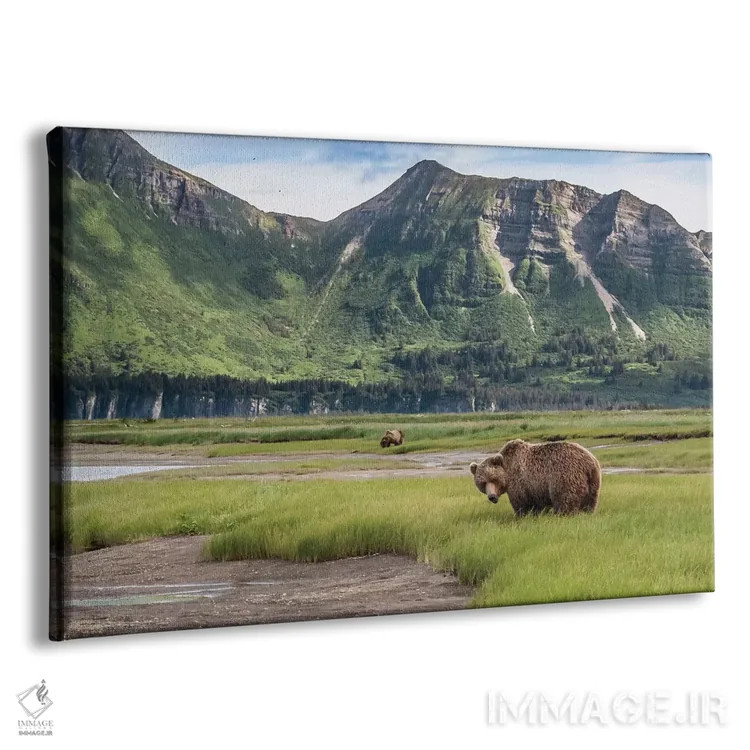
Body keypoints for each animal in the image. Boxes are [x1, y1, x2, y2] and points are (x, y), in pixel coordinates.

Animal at [469, 438, 601, 516]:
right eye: (482, 483)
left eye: (493, 479)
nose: (492, 497)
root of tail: (590, 461)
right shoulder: (535, 489)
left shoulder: (519, 482)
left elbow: (521, 503)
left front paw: (522, 515)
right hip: (592, 483)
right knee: (590, 502)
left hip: (565, 476)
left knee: (565, 499)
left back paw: (564, 514)